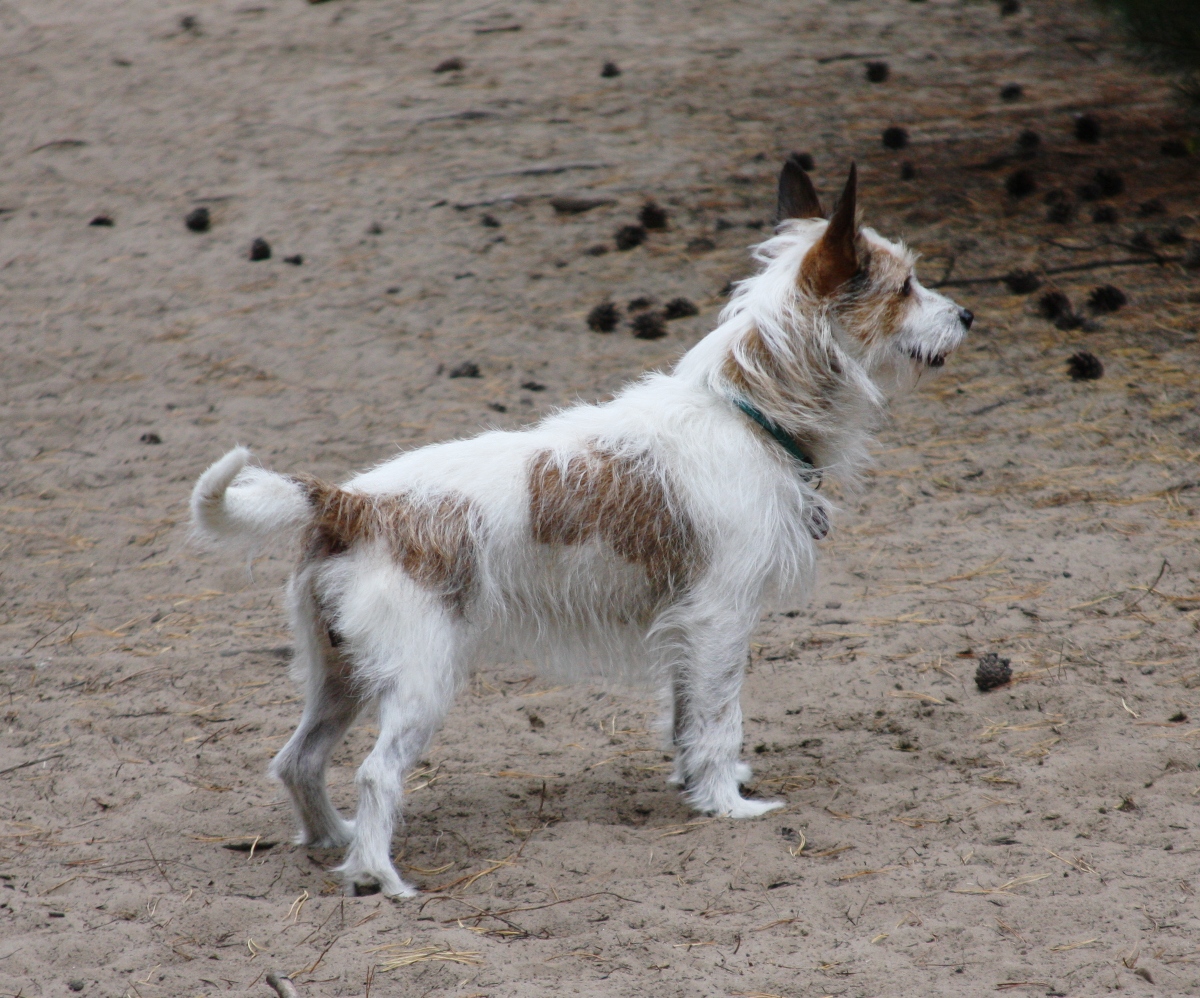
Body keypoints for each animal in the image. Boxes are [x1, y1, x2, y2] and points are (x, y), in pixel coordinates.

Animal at [190, 161, 972, 897]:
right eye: (905, 286)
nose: (966, 315)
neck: (748, 412)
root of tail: (350, 502)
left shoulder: (686, 626)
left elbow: (688, 718)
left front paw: (693, 786)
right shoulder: (721, 620)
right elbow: (720, 721)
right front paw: (728, 804)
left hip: (339, 675)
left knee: (298, 761)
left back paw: (335, 842)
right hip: (419, 680)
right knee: (376, 775)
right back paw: (379, 877)